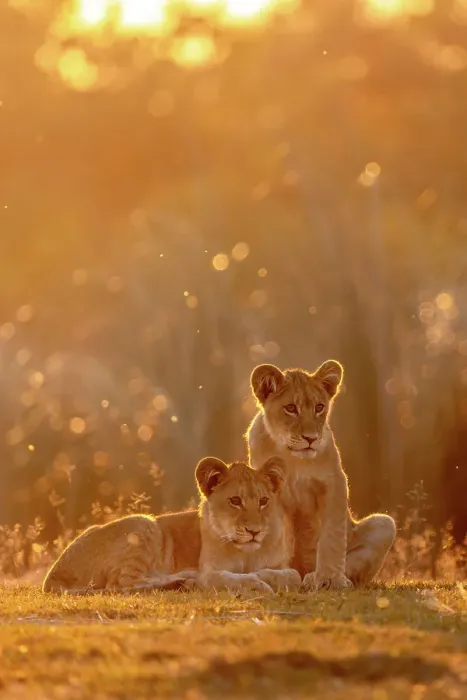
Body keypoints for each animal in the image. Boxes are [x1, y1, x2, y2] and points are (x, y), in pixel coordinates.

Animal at [42, 455, 300, 595]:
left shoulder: (281, 564)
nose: (254, 531)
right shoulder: (210, 570)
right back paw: (185, 579)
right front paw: (257, 583)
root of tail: (53, 573)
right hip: (144, 524)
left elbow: (294, 574)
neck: (247, 553)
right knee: (123, 582)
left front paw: (265, 576)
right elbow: (228, 578)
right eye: (235, 501)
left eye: (264, 501)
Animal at [247, 360, 396, 591]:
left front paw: (330, 579)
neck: (292, 458)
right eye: (291, 408)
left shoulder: (335, 482)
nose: (311, 438)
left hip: (384, 524)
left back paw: (317, 578)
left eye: (319, 407)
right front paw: (277, 575)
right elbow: (276, 537)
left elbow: (331, 536)